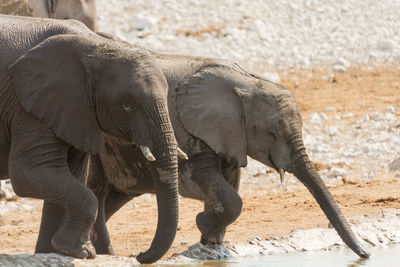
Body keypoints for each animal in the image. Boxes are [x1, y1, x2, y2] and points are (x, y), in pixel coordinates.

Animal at [0, 15, 180, 266]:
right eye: (127, 105)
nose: (139, 255)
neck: (96, 46)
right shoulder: (27, 104)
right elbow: (30, 174)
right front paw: (82, 252)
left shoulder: (70, 108)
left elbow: (70, 176)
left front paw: (53, 253)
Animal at [79, 51, 372, 258]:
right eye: (270, 134)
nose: (366, 253)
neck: (245, 82)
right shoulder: (188, 129)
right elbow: (209, 184)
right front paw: (203, 225)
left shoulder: (229, 137)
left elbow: (230, 182)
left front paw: (211, 242)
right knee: (99, 190)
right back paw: (105, 252)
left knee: (117, 194)